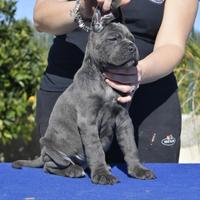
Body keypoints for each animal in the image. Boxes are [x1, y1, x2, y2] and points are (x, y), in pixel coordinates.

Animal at [12, 8, 155, 186]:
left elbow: (130, 147)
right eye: (113, 38)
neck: (103, 78)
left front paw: (138, 170)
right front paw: (102, 175)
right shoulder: (88, 120)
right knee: (51, 165)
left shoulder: (124, 119)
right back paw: (73, 170)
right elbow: (95, 149)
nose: (132, 48)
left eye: (132, 39)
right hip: (49, 145)